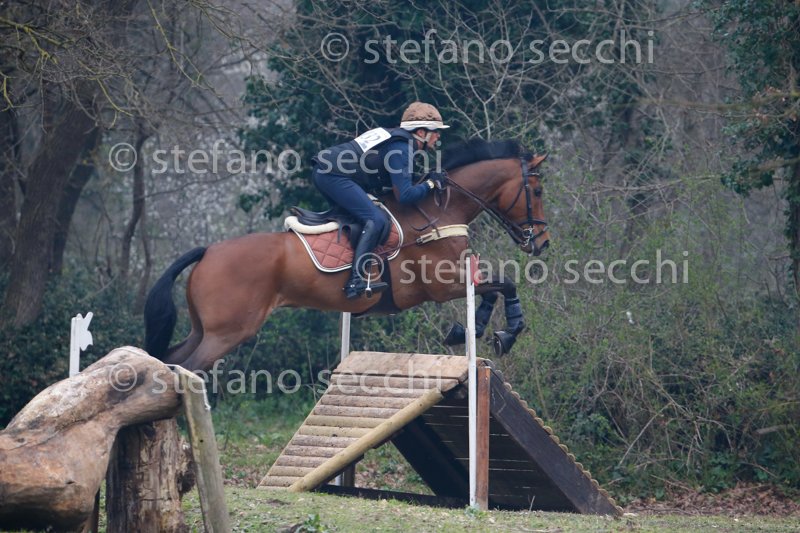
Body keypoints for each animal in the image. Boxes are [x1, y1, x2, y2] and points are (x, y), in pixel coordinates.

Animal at [144, 139, 550, 371]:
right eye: (538, 190)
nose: (541, 242)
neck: (440, 210)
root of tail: (208, 250)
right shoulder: (443, 285)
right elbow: (505, 284)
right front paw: (507, 332)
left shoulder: (460, 279)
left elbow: (494, 288)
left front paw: (473, 329)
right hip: (227, 332)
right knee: (186, 370)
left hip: (204, 329)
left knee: (170, 361)